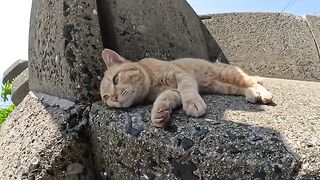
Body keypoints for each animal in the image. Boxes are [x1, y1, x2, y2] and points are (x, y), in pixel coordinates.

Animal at [99, 47, 272, 126]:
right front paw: (159, 112)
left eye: (115, 79)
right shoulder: (173, 91)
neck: (153, 84)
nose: (114, 98)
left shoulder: (182, 76)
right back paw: (253, 94)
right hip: (223, 86)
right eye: (106, 98)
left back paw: (265, 94)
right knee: (244, 87)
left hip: (229, 74)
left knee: (252, 81)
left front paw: (193, 103)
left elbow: (187, 90)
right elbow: (165, 98)